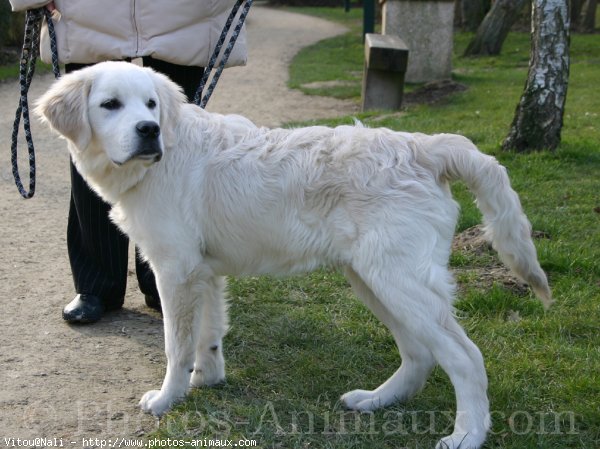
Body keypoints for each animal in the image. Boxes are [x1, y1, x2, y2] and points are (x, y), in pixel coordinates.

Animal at [36, 60, 552, 448]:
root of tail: (425, 146)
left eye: (150, 105)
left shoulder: (176, 271)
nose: (149, 131)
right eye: (110, 105)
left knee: (465, 358)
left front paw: (167, 399)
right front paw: (208, 380)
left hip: (398, 280)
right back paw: (376, 400)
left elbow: (176, 344)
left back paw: (467, 435)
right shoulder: (204, 271)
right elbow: (209, 335)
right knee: (419, 355)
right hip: (374, 280)